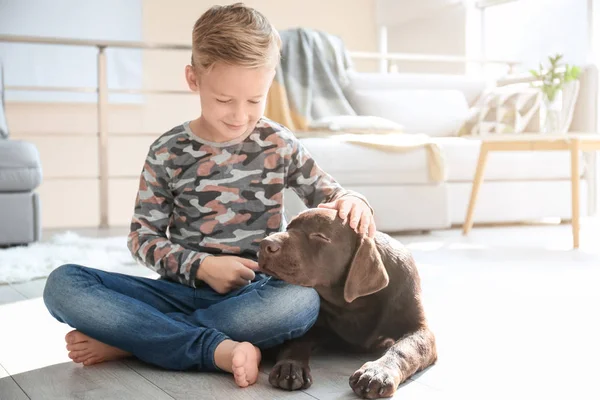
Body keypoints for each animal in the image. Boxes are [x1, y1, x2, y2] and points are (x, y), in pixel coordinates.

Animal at [258, 208, 436, 398]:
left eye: (319, 235)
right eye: (288, 227)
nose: (265, 244)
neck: (354, 305)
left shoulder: (419, 329)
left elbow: (403, 349)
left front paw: (377, 372)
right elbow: (296, 341)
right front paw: (290, 366)